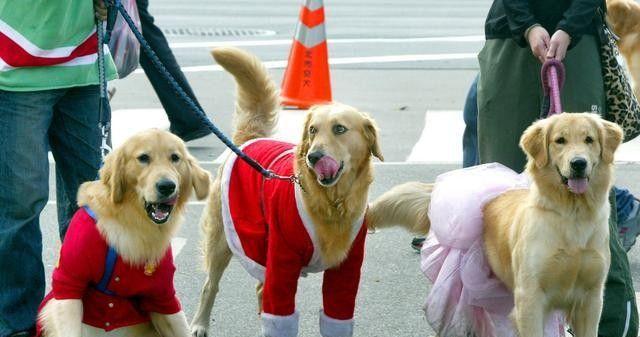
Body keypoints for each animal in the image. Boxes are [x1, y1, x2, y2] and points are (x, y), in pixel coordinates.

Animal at [188, 47, 382, 336]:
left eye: (339, 129)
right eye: (312, 130)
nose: (313, 157)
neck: (331, 203)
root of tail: (251, 138)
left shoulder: (347, 267)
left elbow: (336, 317)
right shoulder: (283, 258)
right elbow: (280, 312)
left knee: (260, 288)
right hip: (224, 238)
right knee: (210, 286)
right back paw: (199, 324)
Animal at [368, 113, 624, 336]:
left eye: (589, 139)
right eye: (560, 140)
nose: (578, 163)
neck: (572, 215)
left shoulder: (591, 300)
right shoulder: (530, 298)